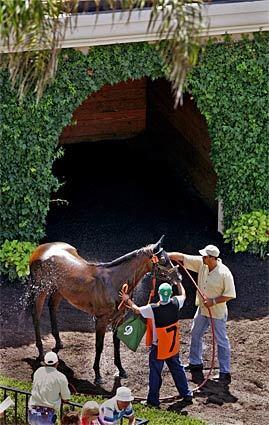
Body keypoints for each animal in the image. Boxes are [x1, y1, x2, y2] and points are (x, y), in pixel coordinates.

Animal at [28, 234, 181, 382]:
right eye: (163, 260)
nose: (178, 277)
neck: (113, 283)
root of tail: (40, 249)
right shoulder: (101, 320)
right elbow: (99, 346)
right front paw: (97, 375)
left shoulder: (118, 319)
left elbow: (117, 344)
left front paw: (121, 370)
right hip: (40, 290)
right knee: (36, 315)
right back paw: (41, 353)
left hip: (58, 291)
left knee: (52, 308)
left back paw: (58, 342)